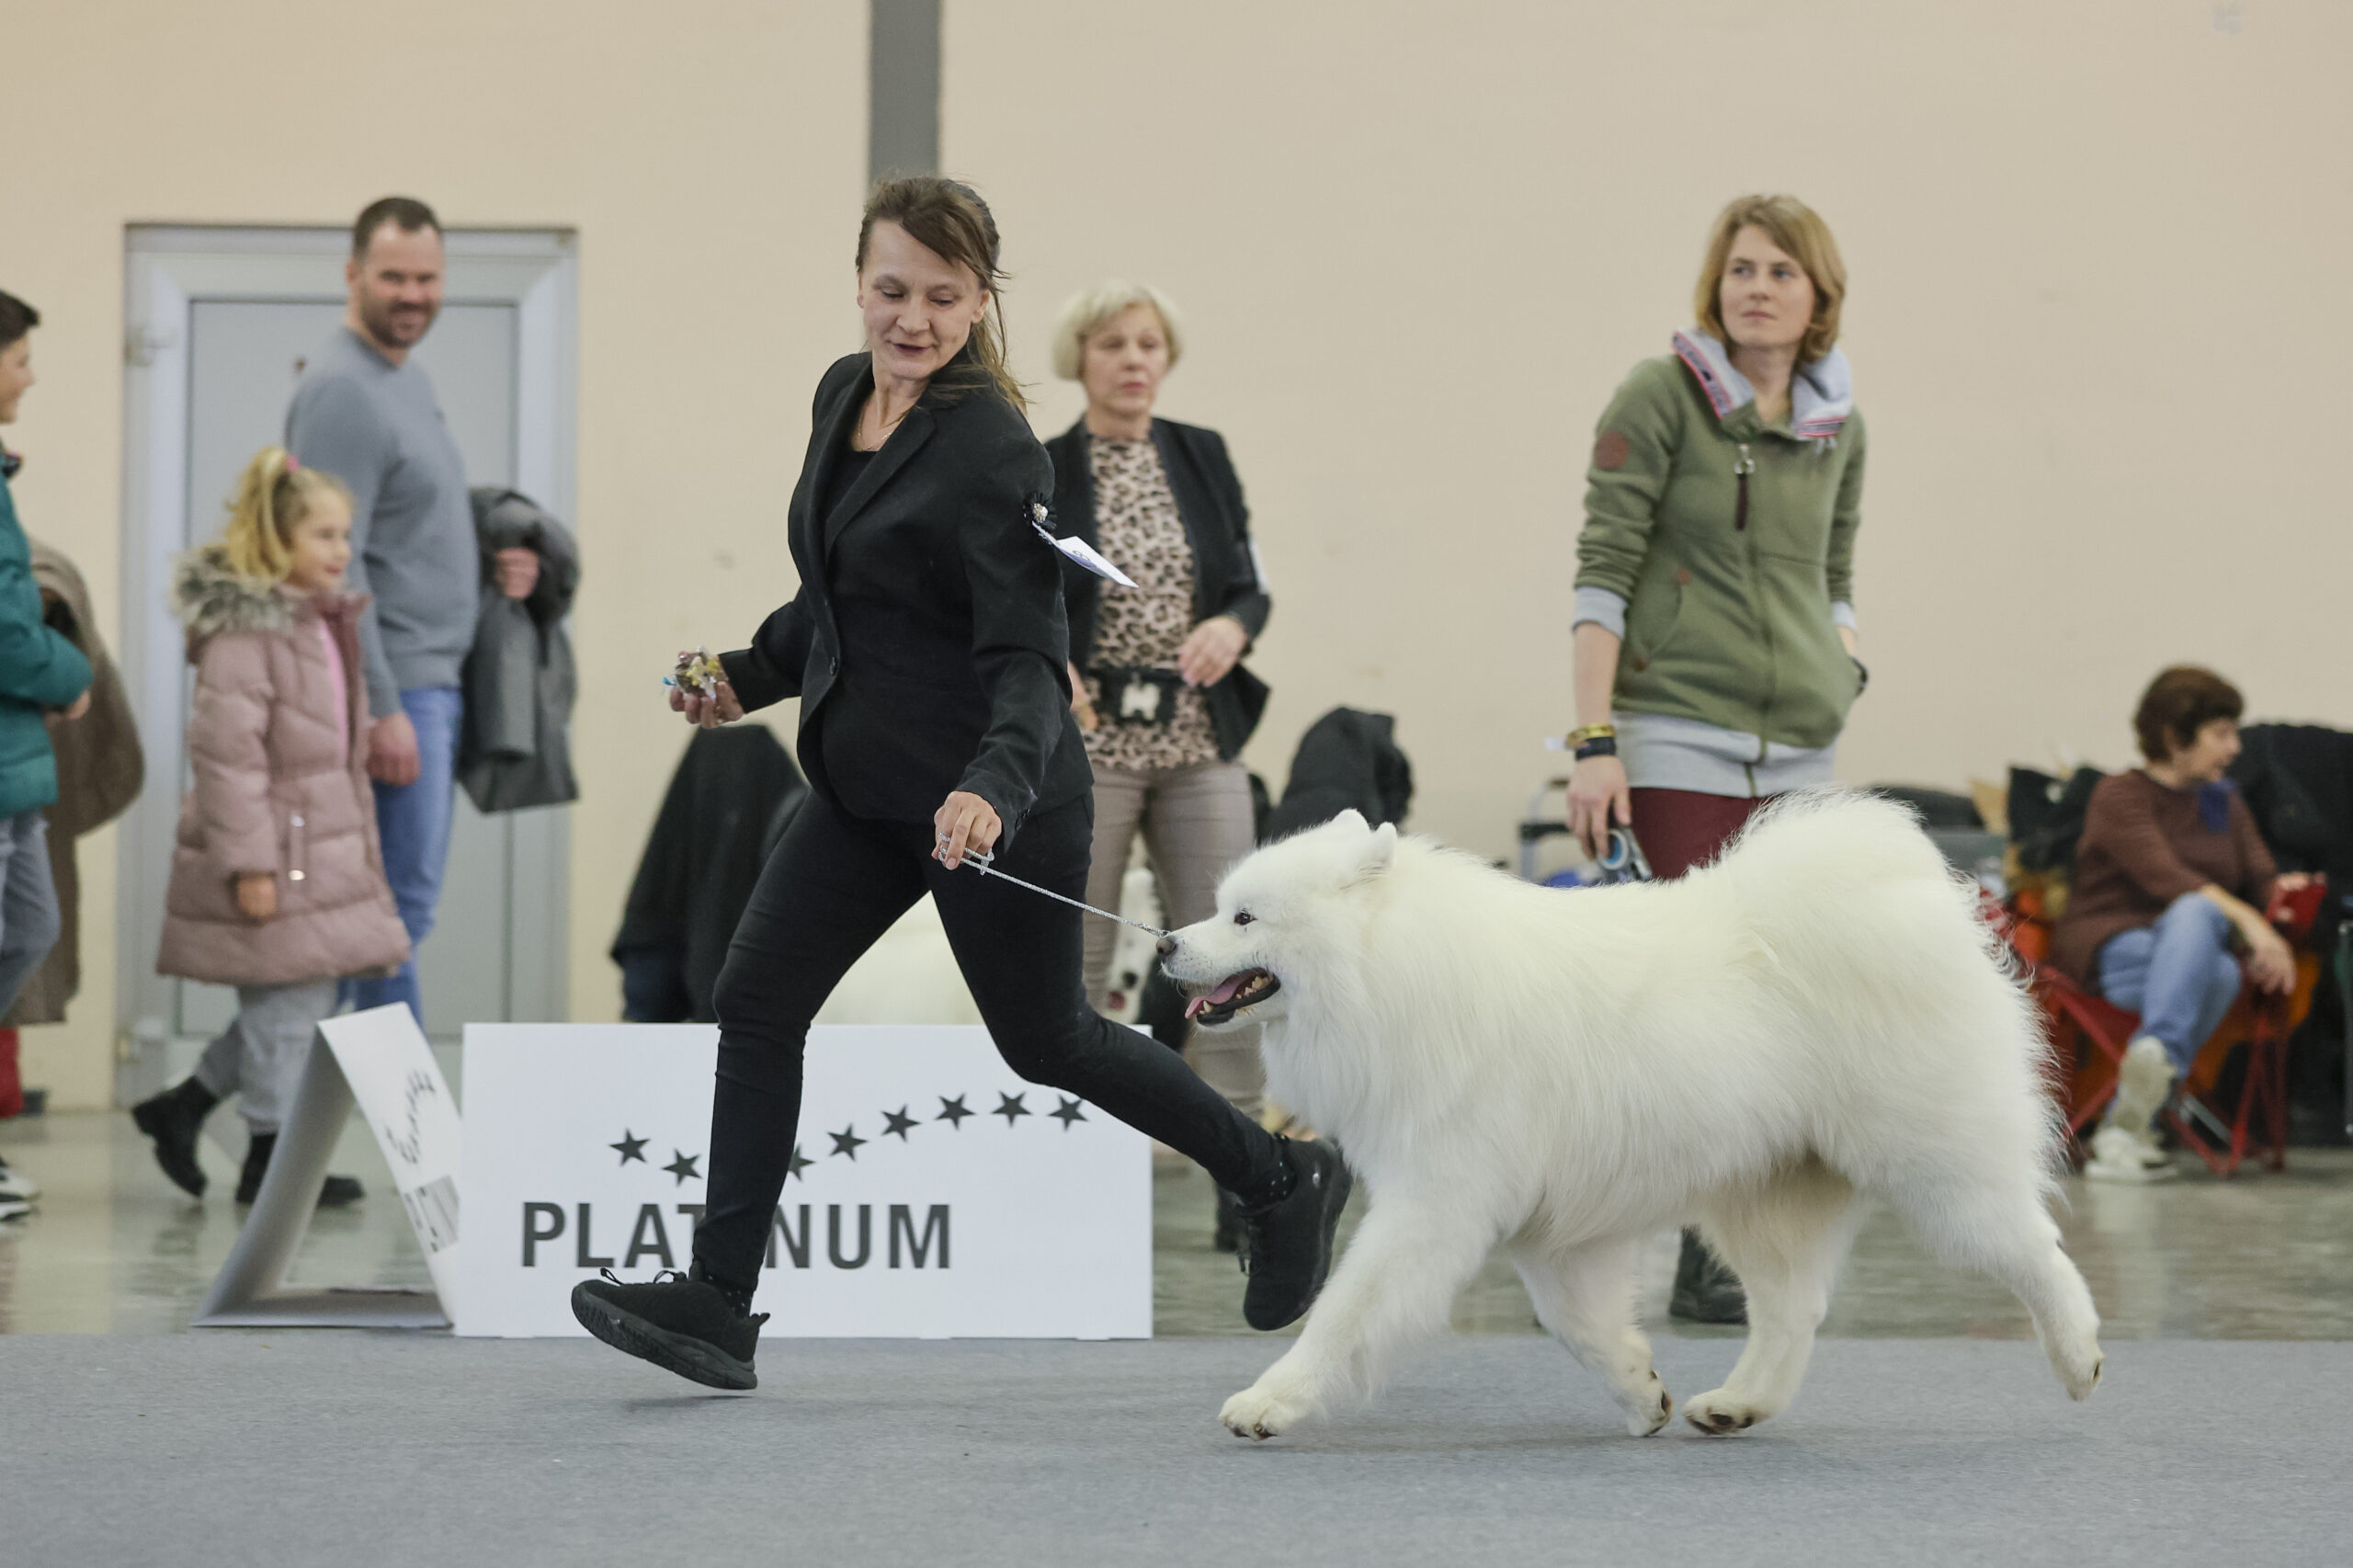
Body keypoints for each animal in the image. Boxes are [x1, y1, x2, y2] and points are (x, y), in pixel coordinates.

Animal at [1159, 789, 2103, 1440]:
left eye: (1243, 916)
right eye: (1220, 908)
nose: (1166, 943)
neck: (1394, 971)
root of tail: (1918, 908)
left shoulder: (1435, 1205)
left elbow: (1346, 1311)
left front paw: (1270, 1401)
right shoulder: (1544, 1228)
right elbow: (1576, 1324)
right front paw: (1640, 1391)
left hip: (1933, 1166)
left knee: (2034, 1248)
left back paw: (2080, 1356)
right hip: (1759, 1197)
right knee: (1793, 1309)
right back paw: (1736, 1404)